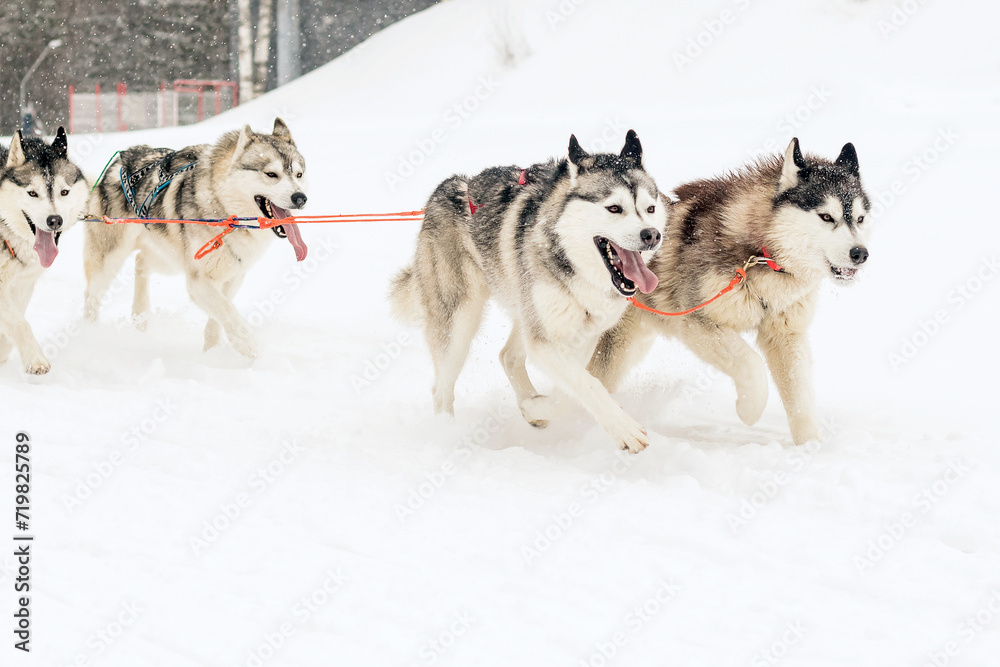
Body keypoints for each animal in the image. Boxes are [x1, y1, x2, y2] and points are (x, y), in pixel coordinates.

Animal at [0, 128, 88, 374]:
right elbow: (19, 322)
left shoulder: (23, 283)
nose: (55, 220)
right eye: (32, 193)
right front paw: (34, 358)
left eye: (64, 192)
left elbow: (14, 319)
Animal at [84, 117, 306, 358]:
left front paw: (212, 352)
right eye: (271, 174)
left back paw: (140, 316)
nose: (300, 197)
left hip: (168, 259)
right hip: (109, 259)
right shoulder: (198, 280)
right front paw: (246, 343)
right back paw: (90, 333)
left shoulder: (234, 274)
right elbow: (226, 309)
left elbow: (219, 313)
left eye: (299, 175)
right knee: (91, 296)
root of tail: (121, 159)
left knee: (141, 261)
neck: (225, 213)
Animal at [390, 132, 664, 454]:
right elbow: (588, 384)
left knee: (507, 355)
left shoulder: (584, 337)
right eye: (614, 208)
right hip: (458, 324)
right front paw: (624, 429)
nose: (652, 235)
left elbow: (571, 390)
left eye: (650, 209)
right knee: (441, 388)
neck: (571, 265)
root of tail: (451, 185)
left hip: (523, 309)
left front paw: (534, 407)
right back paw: (447, 433)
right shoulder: (544, 341)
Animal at [592, 137, 868, 444]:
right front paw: (749, 409)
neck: (761, 254)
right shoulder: (697, 322)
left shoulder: (785, 334)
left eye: (860, 219)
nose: (861, 253)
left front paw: (811, 447)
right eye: (826, 217)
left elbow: (801, 398)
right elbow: (751, 364)